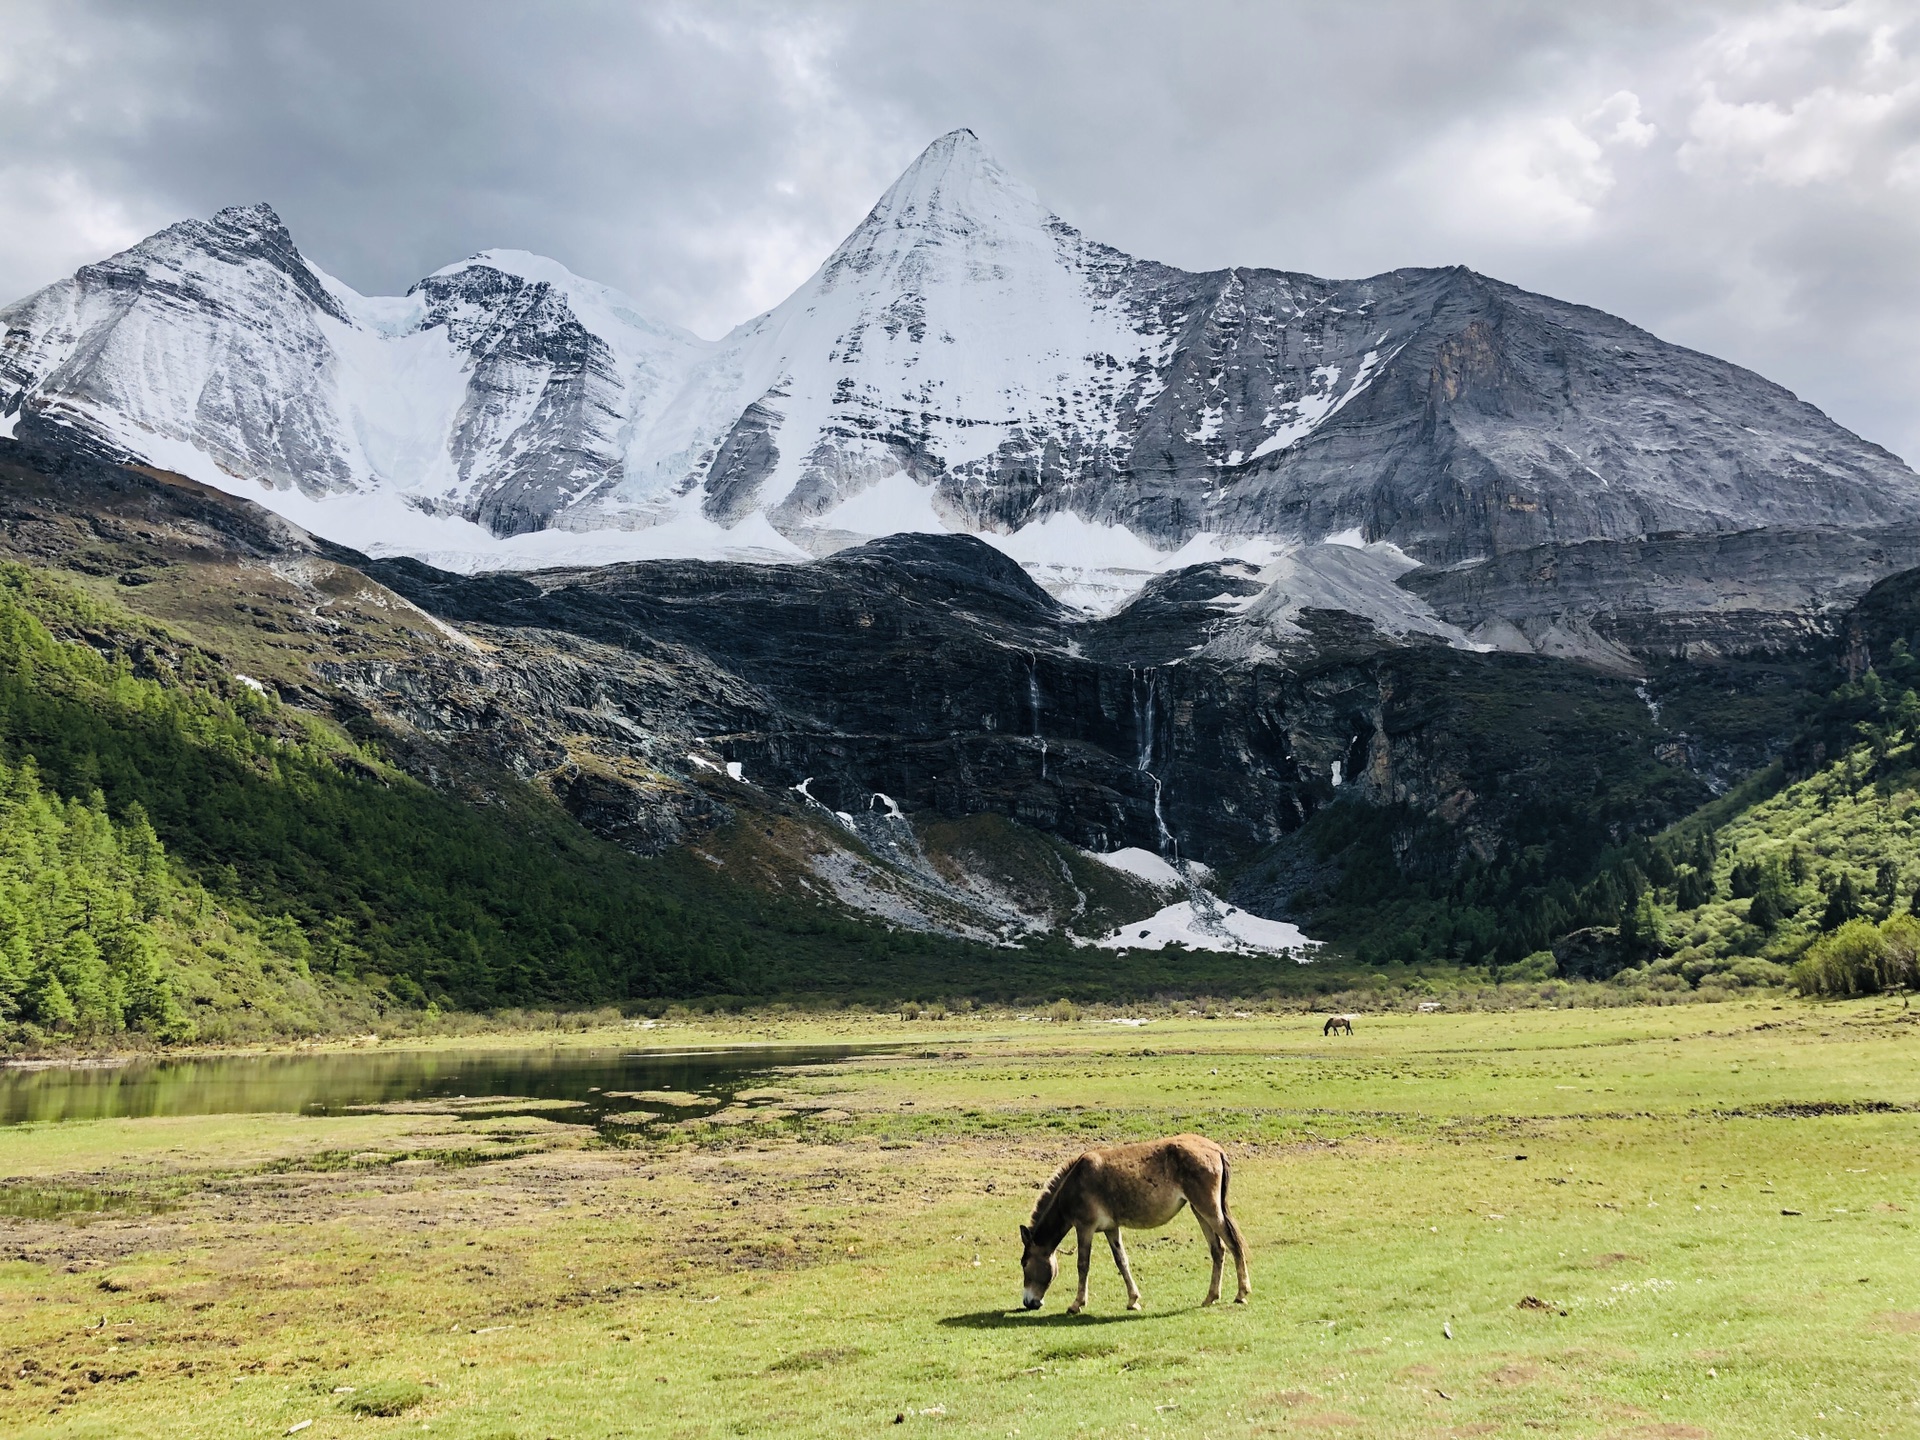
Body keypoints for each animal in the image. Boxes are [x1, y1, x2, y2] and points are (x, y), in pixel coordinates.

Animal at [1013, 1136, 1251, 1320]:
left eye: (1024, 1263)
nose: (1028, 1302)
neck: (1075, 1181)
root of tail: (1217, 1150)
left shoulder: (1084, 1228)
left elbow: (1083, 1265)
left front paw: (1076, 1304)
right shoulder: (1111, 1228)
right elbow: (1122, 1261)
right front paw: (1133, 1300)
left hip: (1208, 1209)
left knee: (1233, 1244)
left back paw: (1241, 1293)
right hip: (1198, 1210)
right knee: (1218, 1250)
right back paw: (1210, 1297)